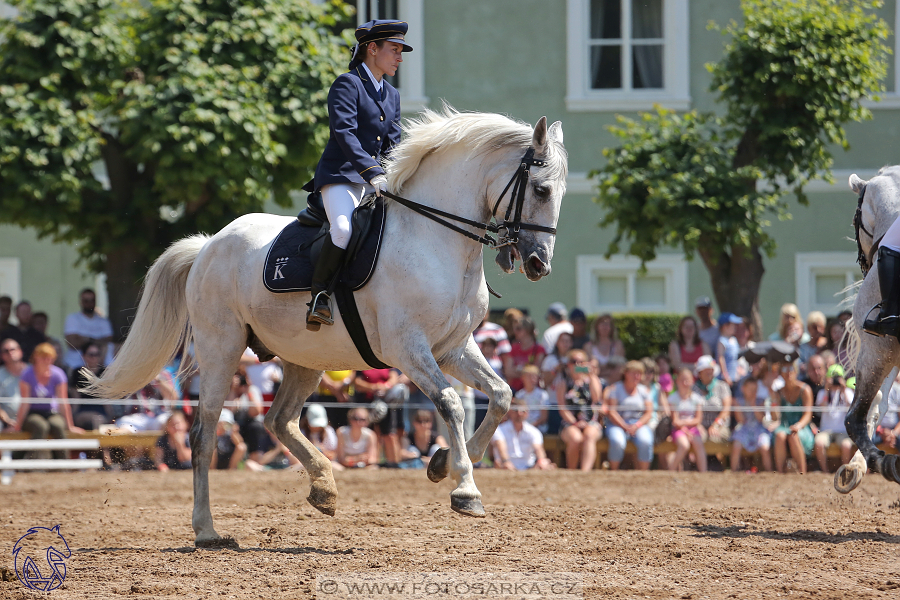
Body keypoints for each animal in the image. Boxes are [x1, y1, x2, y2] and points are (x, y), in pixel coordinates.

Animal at [82, 106, 564, 544]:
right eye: (541, 190)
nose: (538, 264)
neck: (435, 240)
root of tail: (207, 246)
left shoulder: (454, 347)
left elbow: (501, 396)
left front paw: (442, 461)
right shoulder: (408, 348)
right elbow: (451, 404)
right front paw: (464, 489)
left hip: (304, 357)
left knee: (279, 420)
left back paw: (323, 489)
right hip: (222, 347)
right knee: (204, 435)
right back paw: (207, 530)